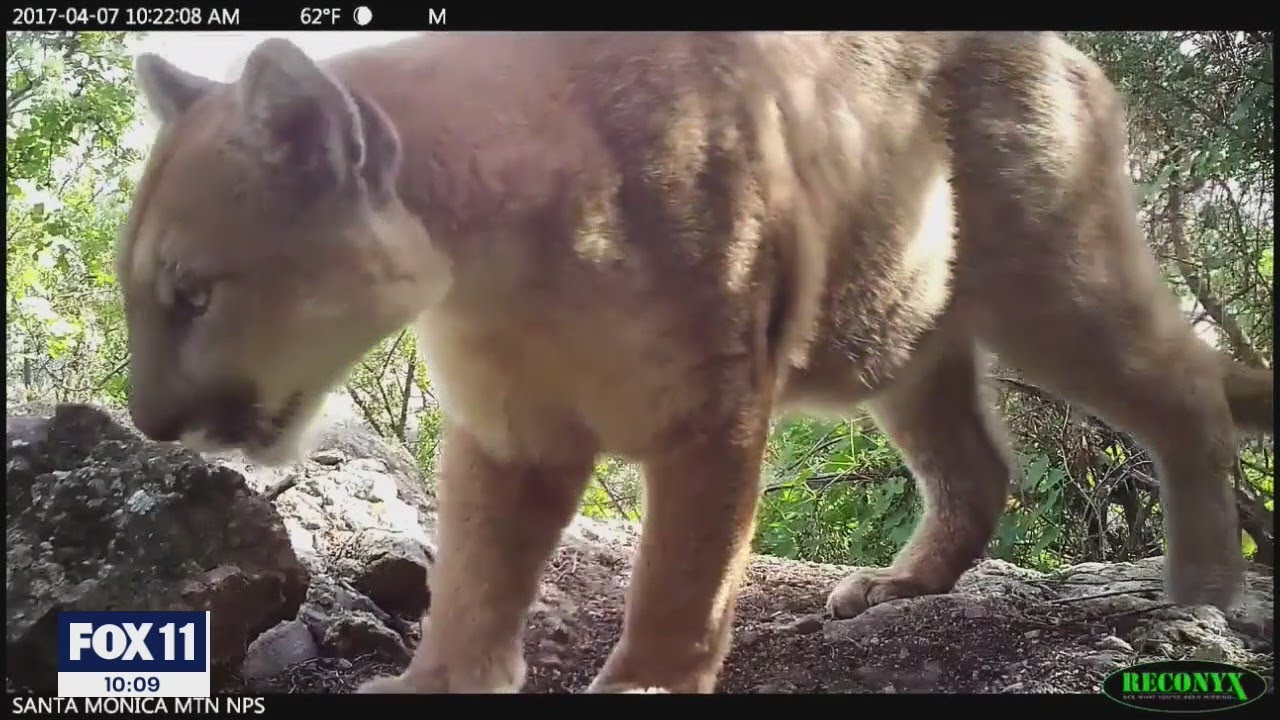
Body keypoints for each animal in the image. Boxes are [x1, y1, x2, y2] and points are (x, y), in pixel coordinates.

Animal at [118, 31, 1273, 693]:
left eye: (194, 294)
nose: (149, 424)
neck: (491, 265)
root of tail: (1069, 51)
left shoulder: (706, 409)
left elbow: (682, 574)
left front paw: (644, 686)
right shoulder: (509, 424)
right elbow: (478, 572)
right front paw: (439, 682)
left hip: (1050, 275)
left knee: (1185, 389)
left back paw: (1202, 588)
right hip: (898, 325)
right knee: (976, 465)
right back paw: (898, 585)